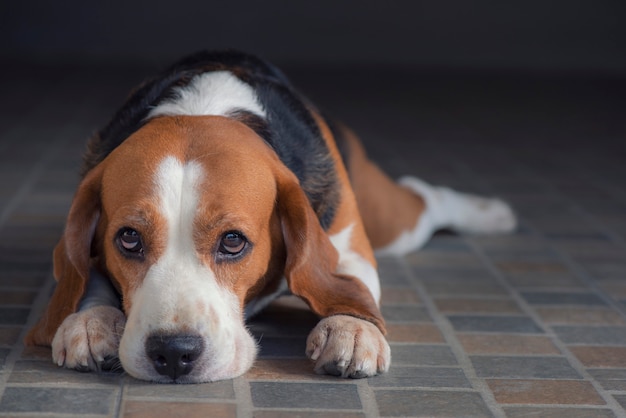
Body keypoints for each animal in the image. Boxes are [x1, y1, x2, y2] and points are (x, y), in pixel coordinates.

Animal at [24, 49, 516, 382]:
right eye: (128, 238)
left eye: (233, 241)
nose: (174, 354)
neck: (207, 104)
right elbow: (84, 275)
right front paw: (91, 320)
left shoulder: (348, 246)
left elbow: (350, 284)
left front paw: (352, 329)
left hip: (392, 223)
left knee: (426, 196)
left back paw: (492, 213)